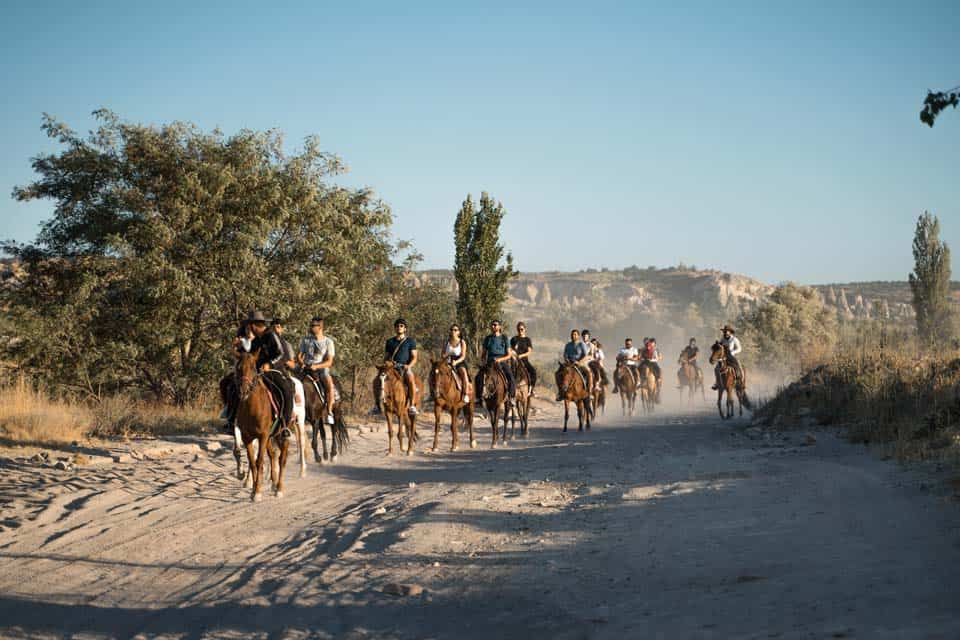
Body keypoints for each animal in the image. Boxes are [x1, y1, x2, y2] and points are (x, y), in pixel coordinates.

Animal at [232, 350, 292, 500]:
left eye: (253, 368)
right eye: (238, 368)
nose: (243, 391)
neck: (252, 408)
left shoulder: (263, 436)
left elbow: (259, 461)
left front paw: (258, 492)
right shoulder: (247, 437)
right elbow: (252, 462)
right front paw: (253, 490)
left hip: (282, 435)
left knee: (282, 459)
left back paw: (279, 489)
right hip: (270, 437)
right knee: (273, 455)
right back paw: (274, 483)